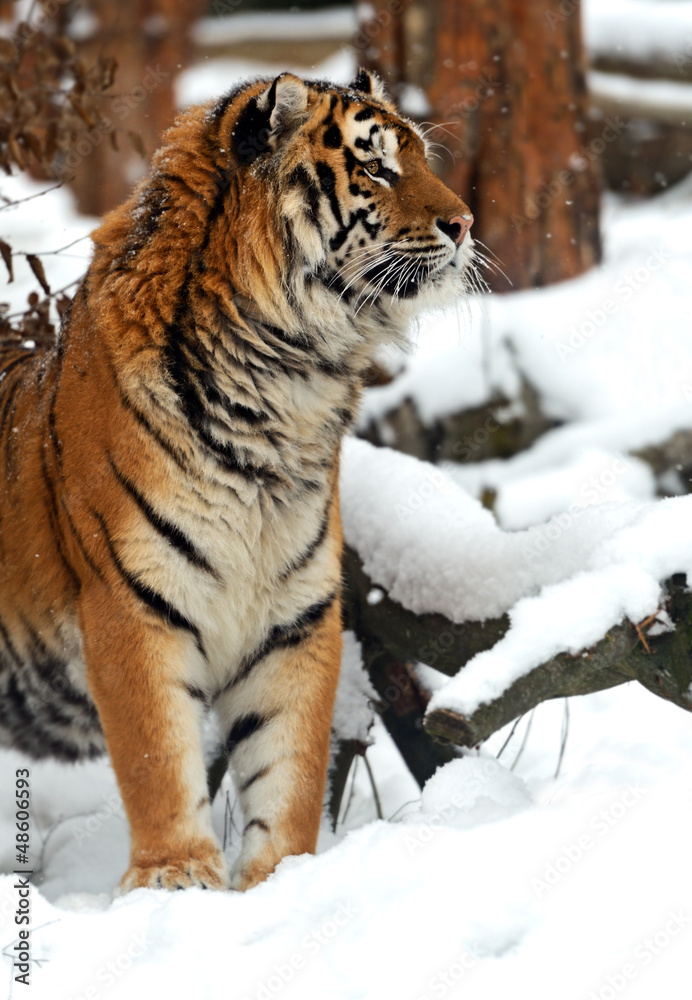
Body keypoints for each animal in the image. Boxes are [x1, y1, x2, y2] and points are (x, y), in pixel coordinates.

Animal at [0, 69, 476, 892]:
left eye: (421, 156)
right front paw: (176, 874)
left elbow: (288, 763)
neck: (285, 385)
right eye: (377, 166)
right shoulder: (132, 602)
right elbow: (157, 756)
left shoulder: (295, 612)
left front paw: (280, 877)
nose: (466, 223)